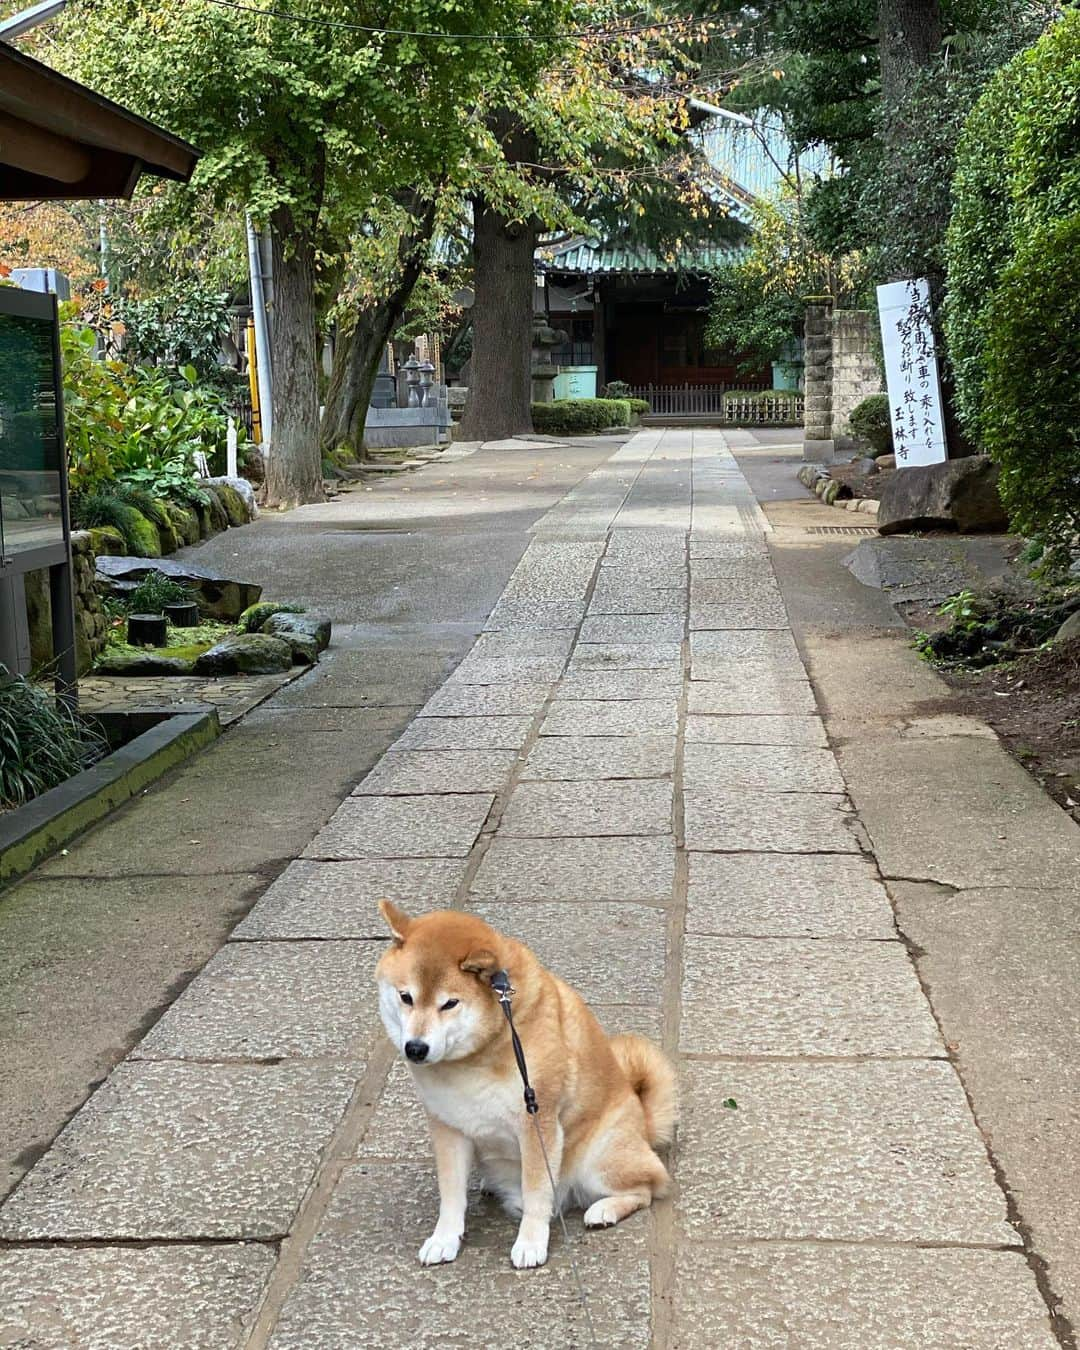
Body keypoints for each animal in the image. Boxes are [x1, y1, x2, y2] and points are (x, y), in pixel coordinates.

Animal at [372, 901, 675, 1269]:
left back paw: (603, 1210)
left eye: (449, 1003)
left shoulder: (536, 1123)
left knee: (646, 1187)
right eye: (406, 997)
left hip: (600, 1157)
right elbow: (451, 1195)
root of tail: (643, 1124)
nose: (415, 1048)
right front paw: (444, 1239)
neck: (473, 1059)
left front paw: (531, 1242)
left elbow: (536, 1192)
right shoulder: (448, 1127)